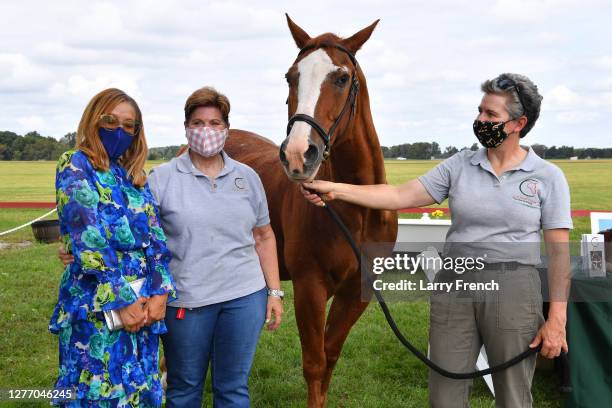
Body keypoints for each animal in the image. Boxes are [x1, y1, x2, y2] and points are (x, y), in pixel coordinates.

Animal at [224, 15, 396, 404]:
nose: (298, 154)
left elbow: (330, 356)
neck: (357, 212)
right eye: (291, 76)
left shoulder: (356, 291)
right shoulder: (309, 288)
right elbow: (314, 364)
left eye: (342, 78)